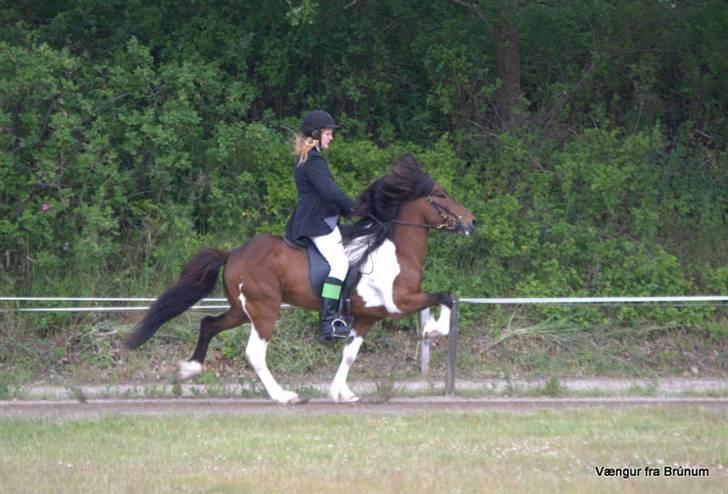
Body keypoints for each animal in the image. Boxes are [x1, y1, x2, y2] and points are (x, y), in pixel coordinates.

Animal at [123, 152, 478, 404]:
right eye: (441, 194)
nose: (471, 221)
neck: (394, 247)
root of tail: (233, 252)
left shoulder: (366, 317)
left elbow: (350, 354)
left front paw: (341, 393)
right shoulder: (398, 302)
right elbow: (445, 296)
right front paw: (433, 331)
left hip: (243, 309)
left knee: (209, 323)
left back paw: (188, 370)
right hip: (264, 309)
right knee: (255, 352)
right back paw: (283, 396)